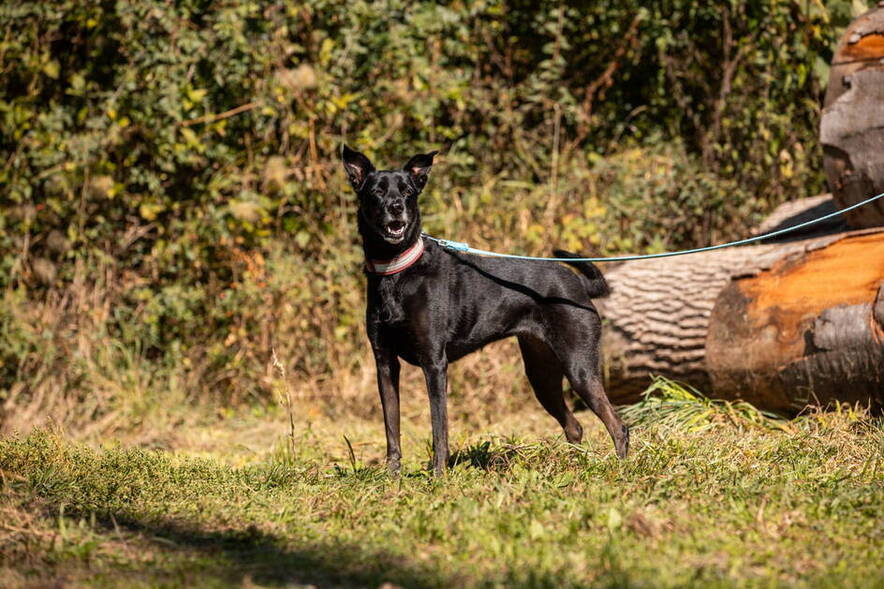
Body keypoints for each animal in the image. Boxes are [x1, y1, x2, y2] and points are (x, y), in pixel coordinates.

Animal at [340, 144, 628, 474]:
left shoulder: (434, 363)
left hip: (579, 367)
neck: (397, 270)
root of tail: (577, 282)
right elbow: (391, 428)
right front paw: (392, 476)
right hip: (541, 373)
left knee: (617, 425)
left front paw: (439, 474)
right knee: (575, 426)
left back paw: (620, 469)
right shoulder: (385, 363)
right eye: (376, 191)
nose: (397, 207)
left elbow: (439, 428)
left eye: (408, 192)